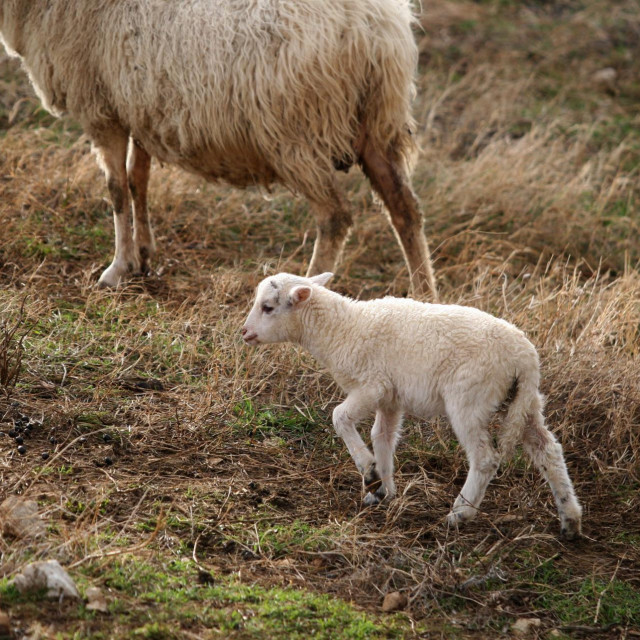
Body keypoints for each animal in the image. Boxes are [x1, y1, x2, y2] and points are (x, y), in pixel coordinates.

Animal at [0, 0, 438, 296]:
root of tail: (373, 29)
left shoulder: (101, 108)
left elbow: (117, 190)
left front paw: (118, 268)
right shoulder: (140, 108)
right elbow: (139, 180)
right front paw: (143, 254)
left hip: (296, 133)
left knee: (335, 217)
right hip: (377, 125)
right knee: (405, 210)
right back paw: (425, 297)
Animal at [242, 272, 584, 536]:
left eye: (268, 307)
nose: (244, 332)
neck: (342, 328)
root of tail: (524, 358)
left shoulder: (373, 384)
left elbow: (340, 417)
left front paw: (368, 471)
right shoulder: (390, 396)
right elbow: (382, 437)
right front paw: (383, 488)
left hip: (470, 398)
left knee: (485, 459)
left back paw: (461, 513)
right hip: (524, 400)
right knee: (548, 449)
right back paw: (570, 518)